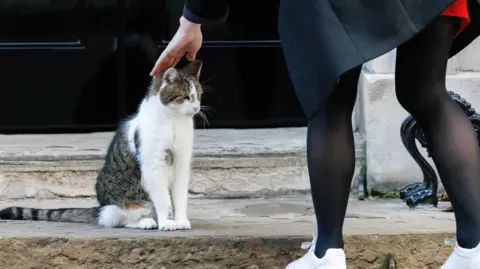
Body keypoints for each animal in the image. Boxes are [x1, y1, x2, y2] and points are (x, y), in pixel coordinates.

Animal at [0, 59, 204, 229]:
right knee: (118, 218)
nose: (196, 108)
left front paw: (180, 221)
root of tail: (100, 207)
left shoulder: (182, 163)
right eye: (185, 97)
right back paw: (146, 221)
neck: (173, 123)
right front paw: (167, 222)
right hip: (128, 202)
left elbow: (179, 197)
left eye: (199, 96)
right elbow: (163, 199)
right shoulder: (154, 166)